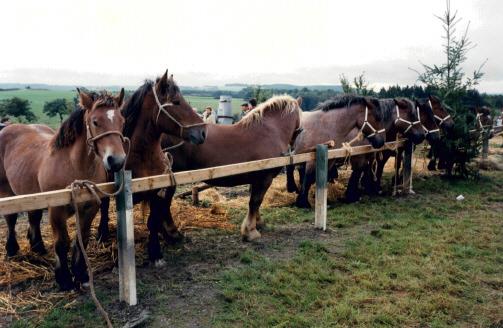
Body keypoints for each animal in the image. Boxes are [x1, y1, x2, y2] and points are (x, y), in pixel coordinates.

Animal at [0, 89, 126, 290]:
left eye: (122, 121)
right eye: (95, 121)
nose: (117, 161)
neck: (74, 166)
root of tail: (8, 127)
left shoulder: (90, 208)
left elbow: (82, 238)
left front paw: (81, 274)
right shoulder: (56, 210)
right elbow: (61, 242)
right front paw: (64, 278)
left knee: (34, 217)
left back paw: (38, 246)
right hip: (7, 191)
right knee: (11, 219)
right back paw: (12, 249)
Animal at [96, 70, 207, 266]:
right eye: (176, 101)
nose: (202, 132)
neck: (143, 157)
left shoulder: (156, 192)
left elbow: (153, 221)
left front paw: (155, 252)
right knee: (103, 207)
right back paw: (102, 233)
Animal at [162, 95, 304, 241]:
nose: (295, 145)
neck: (269, 131)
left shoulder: (256, 179)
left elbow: (255, 203)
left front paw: (258, 223)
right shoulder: (264, 179)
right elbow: (255, 202)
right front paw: (250, 231)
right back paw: (172, 233)